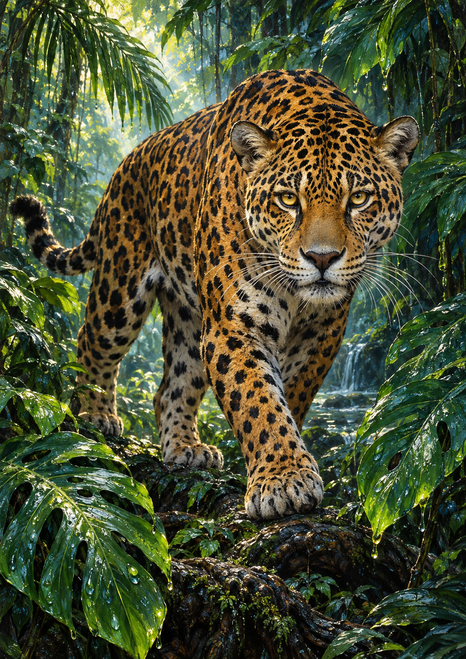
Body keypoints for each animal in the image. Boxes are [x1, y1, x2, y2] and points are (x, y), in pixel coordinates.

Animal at [11, 69, 419, 520]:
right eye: (288, 199)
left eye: (359, 198)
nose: (322, 257)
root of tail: (127, 161)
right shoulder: (234, 324)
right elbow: (257, 399)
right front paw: (284, 479)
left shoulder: (323, 332)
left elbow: (289, 395)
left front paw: (281, 466)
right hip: (120, 290)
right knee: (91, 344)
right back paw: (95, 416)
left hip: (188, 319)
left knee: (171, 386)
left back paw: (185, 448)